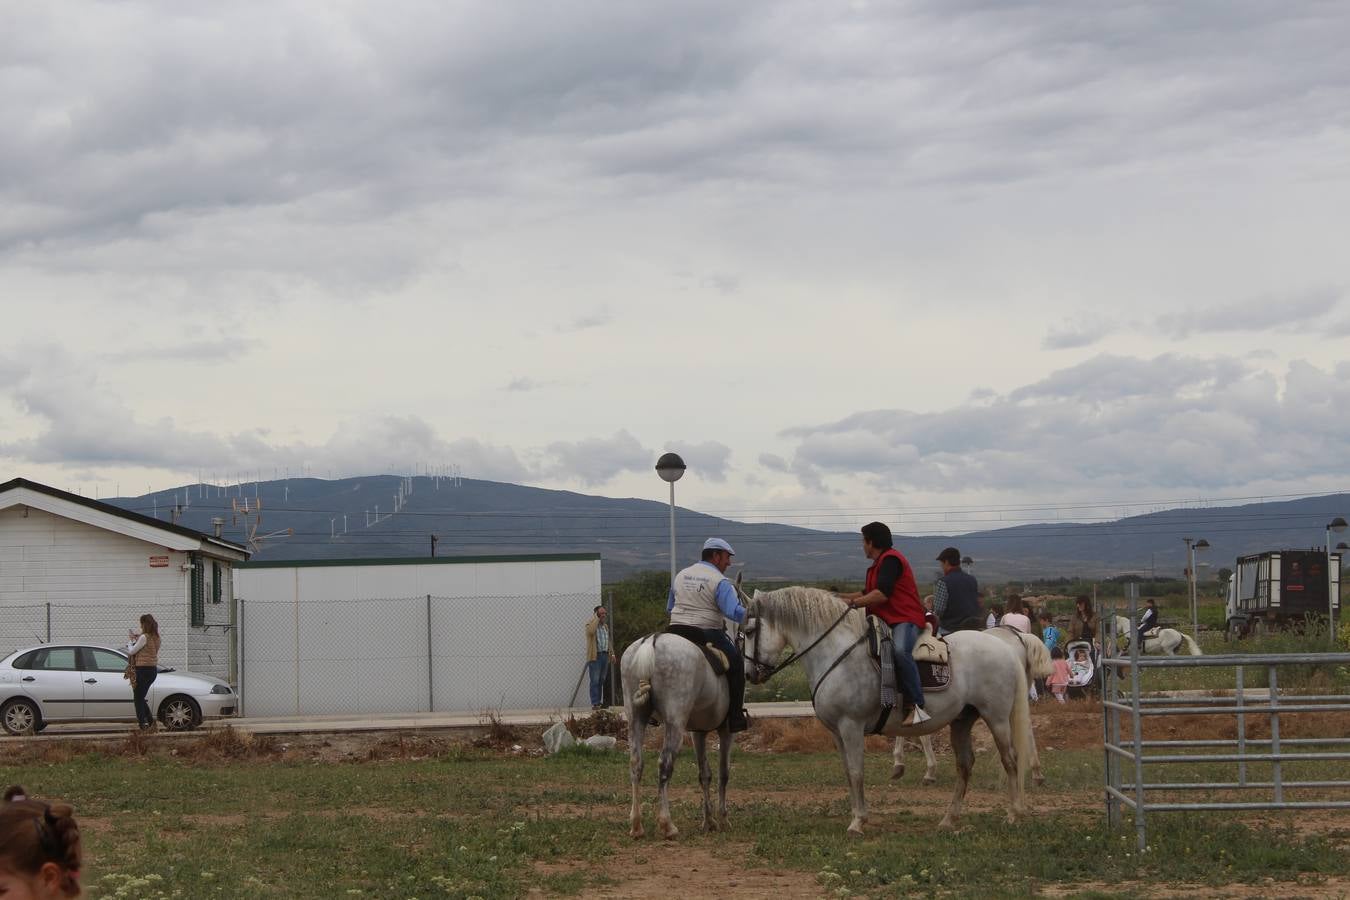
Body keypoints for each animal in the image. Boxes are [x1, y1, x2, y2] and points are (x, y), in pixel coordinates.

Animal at [623, 631, 734, 841]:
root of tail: (652, 639)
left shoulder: (698, 732)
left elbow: (705, 774)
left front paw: (709, 822)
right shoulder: (726, 730)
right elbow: (723, 773)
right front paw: (723, 820)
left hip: (635, 718)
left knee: (635, 764)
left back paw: (636, 825)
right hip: (675, 722)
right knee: (664, 764)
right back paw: (667, 825)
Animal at [745, 588, 1026, 836]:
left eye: (748, 631)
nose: (750, 674)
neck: (836, 653)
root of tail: (1006, 648)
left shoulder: (851, 725)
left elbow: (857, 771)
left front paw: (858, 822)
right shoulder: (837, 731)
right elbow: (848, 772)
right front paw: (857, 814)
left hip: (997, 718)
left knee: (1010, 760)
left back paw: (1013, 814)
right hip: (962, 720)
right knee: (965, 764)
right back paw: (949, 819)